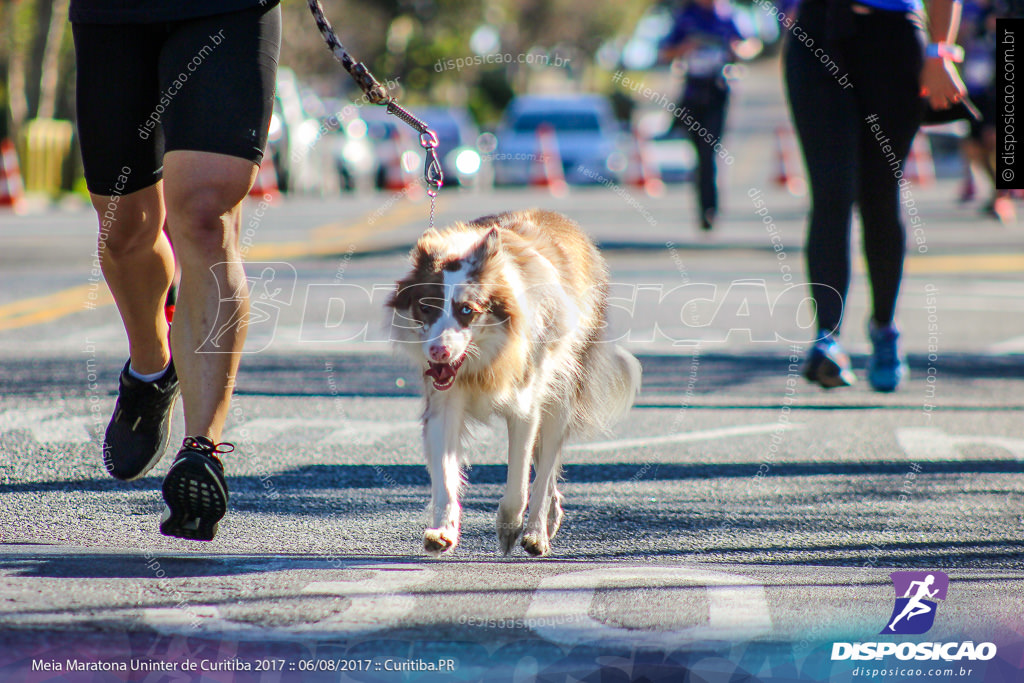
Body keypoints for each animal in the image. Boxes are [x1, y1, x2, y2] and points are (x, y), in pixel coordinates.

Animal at [385, 210, 638, 557]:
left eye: (467, 310)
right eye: (426, 307)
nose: (438, 352)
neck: (485, 358)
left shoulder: (526, 398)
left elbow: (519, 477)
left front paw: (509, 528)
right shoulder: (444, 399)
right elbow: (445, 470)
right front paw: (442, 532)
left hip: (563, 381)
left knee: (546, 464)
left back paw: (536, 533)